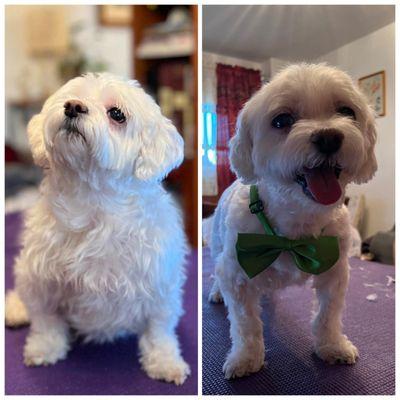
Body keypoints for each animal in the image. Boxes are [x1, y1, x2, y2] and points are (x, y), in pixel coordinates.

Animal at [5, 73, 191, 386]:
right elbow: (45, 321)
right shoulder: (42, 279)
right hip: (25, 272)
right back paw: (15, 309)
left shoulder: (160, 285)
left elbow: (159, 331)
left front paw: (165, 362)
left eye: (117, 114)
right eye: (70, 98)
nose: (73, 107)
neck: (94, 203)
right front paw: (45, 348)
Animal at [209, 62, 378, 378]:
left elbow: (327, 315)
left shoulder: (334, 269)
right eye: (282, 120)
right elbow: (245, 324)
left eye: (347, 111)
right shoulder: (237, 272)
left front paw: (332, 345)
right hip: (217, 246)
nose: (328, 137)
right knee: (216, 272)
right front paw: (246, 358)